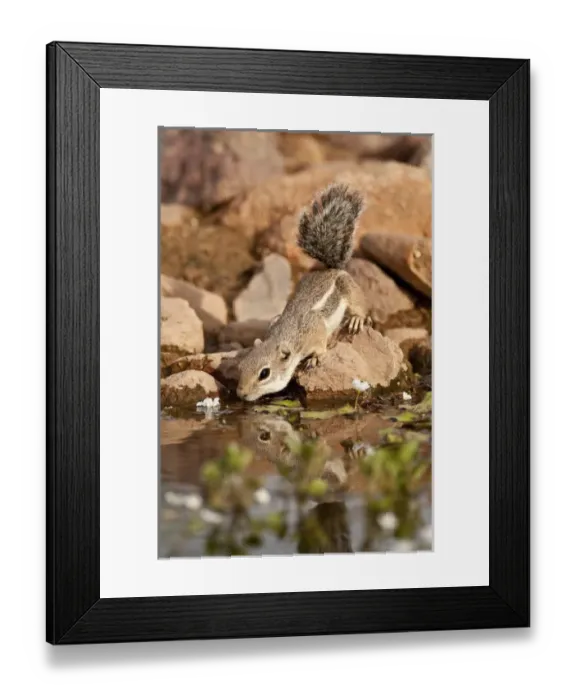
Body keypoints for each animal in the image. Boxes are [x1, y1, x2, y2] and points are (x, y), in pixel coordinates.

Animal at [236, 182, 371, 402]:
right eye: (241, 366)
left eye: (264, 373)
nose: (241, 394)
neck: (285, 335)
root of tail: (329, 269)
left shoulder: (315, 331)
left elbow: (321, 346)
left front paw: (315, 358)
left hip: (349, 289)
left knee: (359, 306)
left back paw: (356, 319)